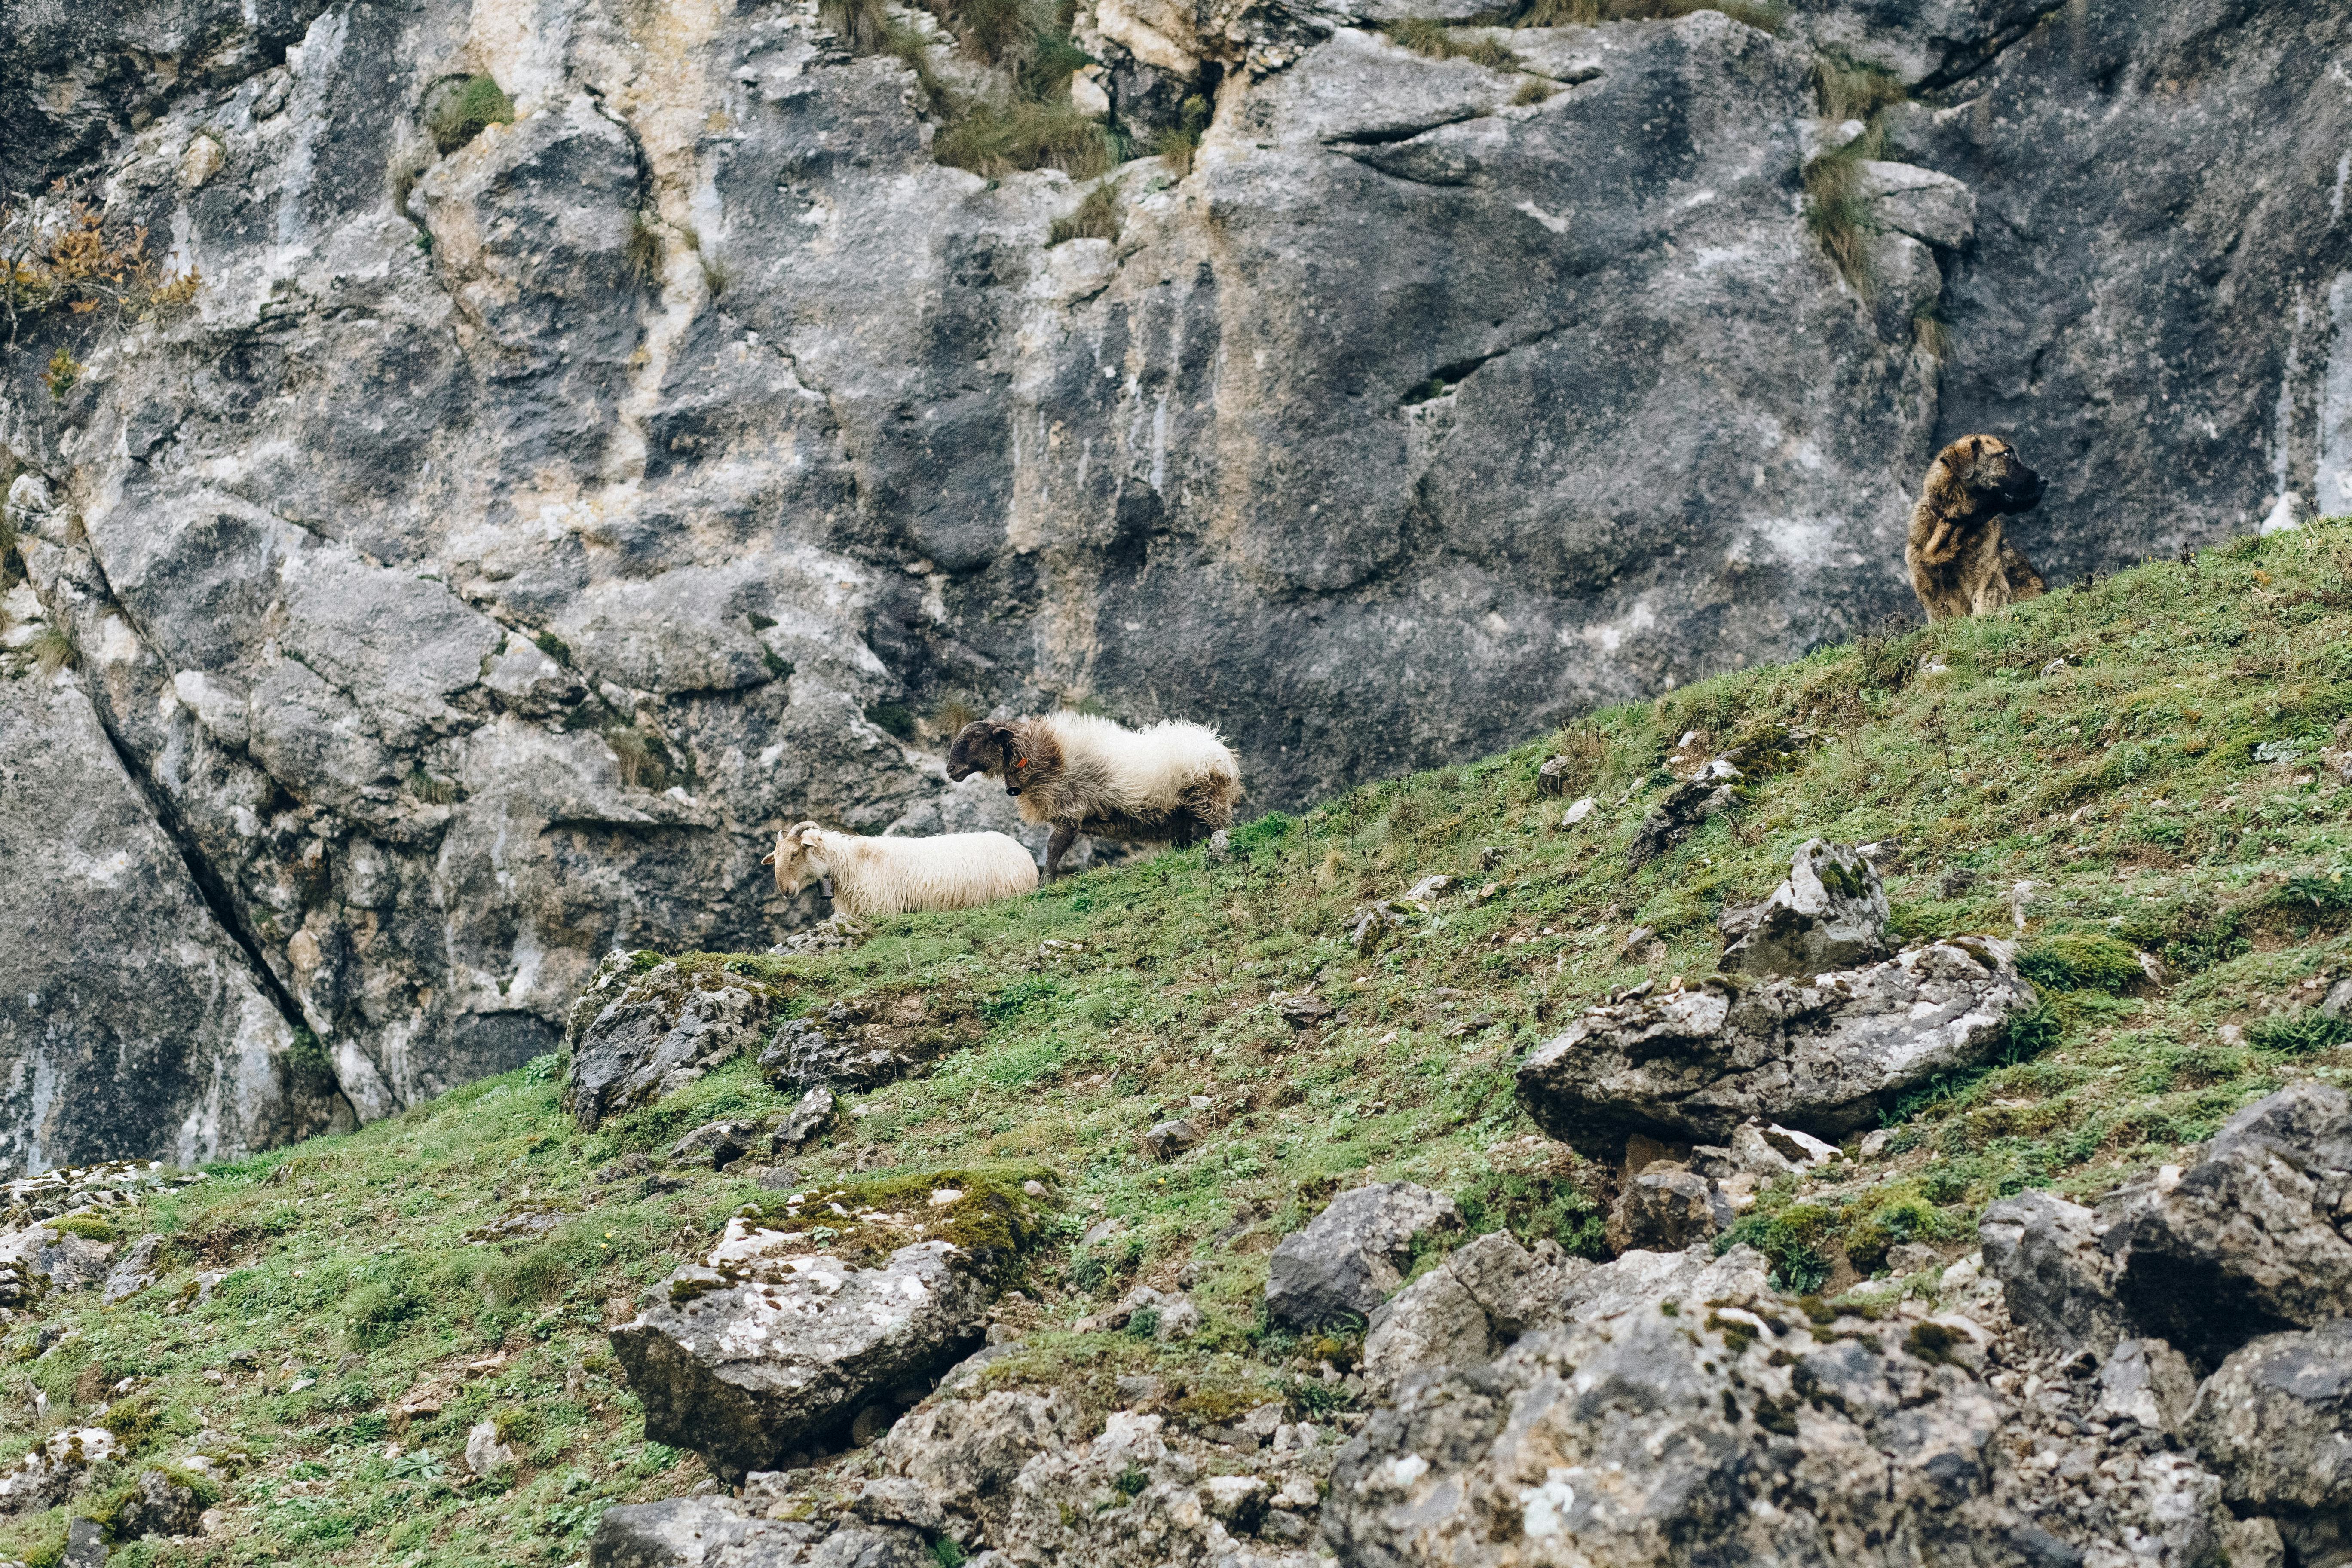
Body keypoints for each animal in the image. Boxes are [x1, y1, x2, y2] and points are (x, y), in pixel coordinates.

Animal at [761, 821, 1037, 917]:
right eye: (776, 857)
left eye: (795, 853)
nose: (785, 890)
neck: (853, 861)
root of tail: (1025, 853)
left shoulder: (881, 909)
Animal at [945, 712, 1241, 880]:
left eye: (976, 737)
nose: (951, 770)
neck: (1046, 755)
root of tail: (1221, 751)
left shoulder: (1071, 810)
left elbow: (1054, 848)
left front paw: (1045, 885)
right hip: (1183, 817)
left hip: (1209, 801)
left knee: (1222, 829)